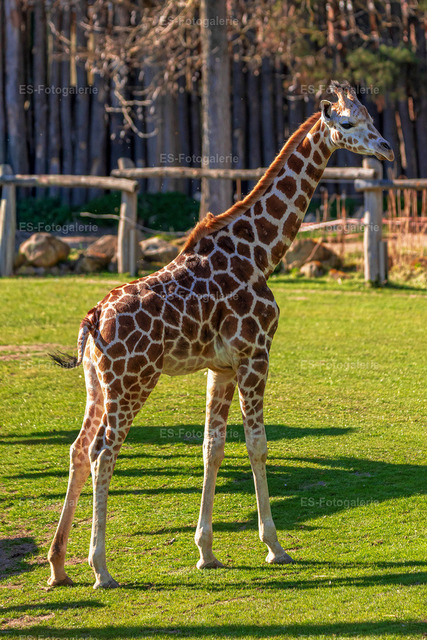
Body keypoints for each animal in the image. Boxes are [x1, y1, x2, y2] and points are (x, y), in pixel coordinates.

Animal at [48, 81, 394, 589]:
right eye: (348, 122)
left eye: (370, 115)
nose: (386, 148)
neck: (263, 252)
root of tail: (93, 320)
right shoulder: (256, 354)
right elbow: (257, 444)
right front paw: (275, 547)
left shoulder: (222, 367)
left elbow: (212, 448)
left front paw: (206, 552)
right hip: (133, 382)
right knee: (102, 452)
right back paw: (101, 569)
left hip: (97, 384)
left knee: (76, 449)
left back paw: (57, 566)